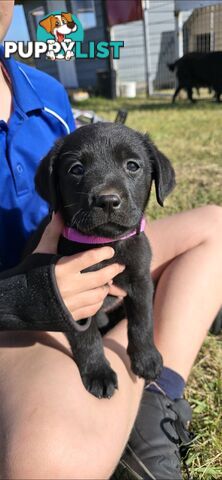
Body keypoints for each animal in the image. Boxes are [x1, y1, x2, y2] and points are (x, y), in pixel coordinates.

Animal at [33, 123, 176, 398]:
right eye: (76, 169)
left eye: (132, 165)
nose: (108, 201)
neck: (106, 243)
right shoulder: (73, 296)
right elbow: (87, 338)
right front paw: (98, 372)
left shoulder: (141, 280)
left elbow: (142, 320)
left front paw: (147, 358)